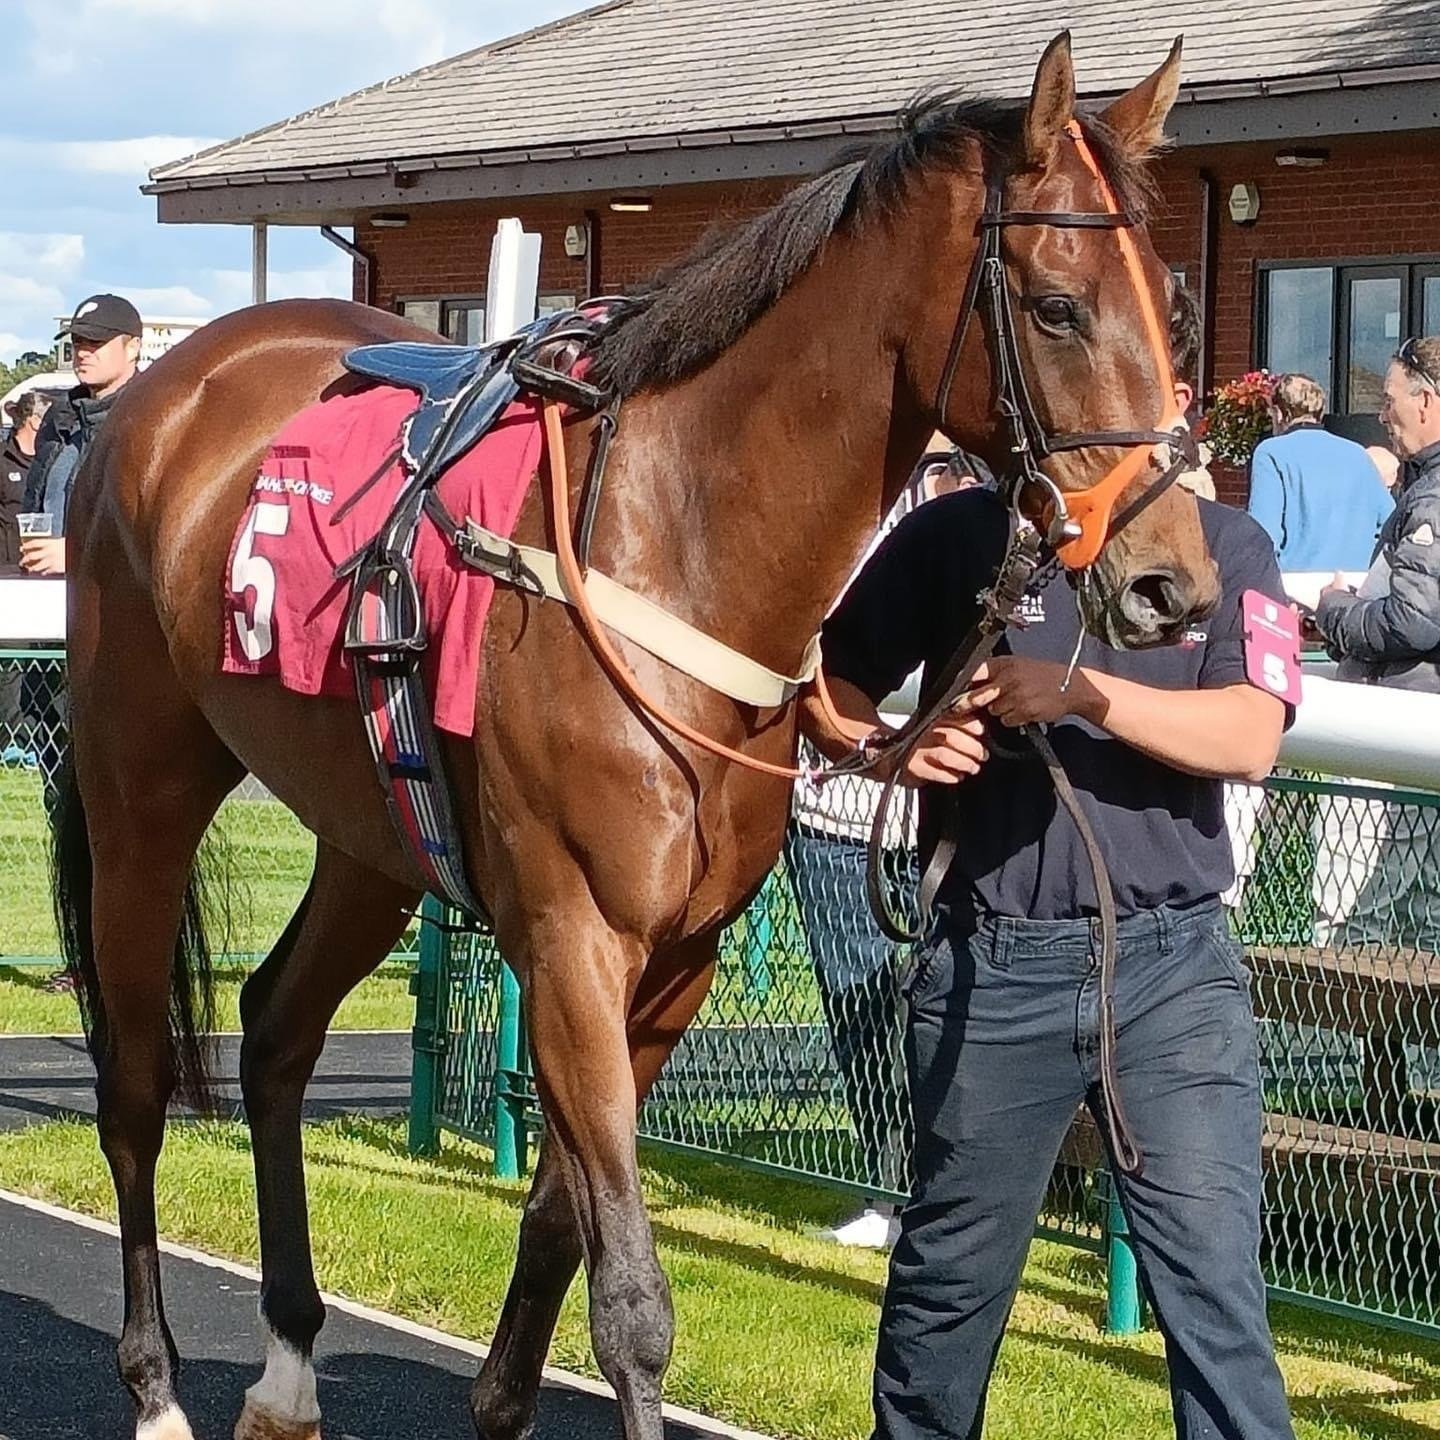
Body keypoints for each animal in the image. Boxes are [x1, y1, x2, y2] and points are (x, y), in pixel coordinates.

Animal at [55, 32, 1217, 1440]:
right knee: (132, 1085)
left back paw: (284, 1368)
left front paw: (500, 1398)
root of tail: (157, 393)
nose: (1171, 583)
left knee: (277, 1028)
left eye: (1176, 304)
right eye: (1055, 308)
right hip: (141, 783)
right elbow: (632, 1305)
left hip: (373, 831)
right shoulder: (570, 948)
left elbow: (563, 1230)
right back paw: (159, 1386)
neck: (676, 550)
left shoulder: (676, 967)